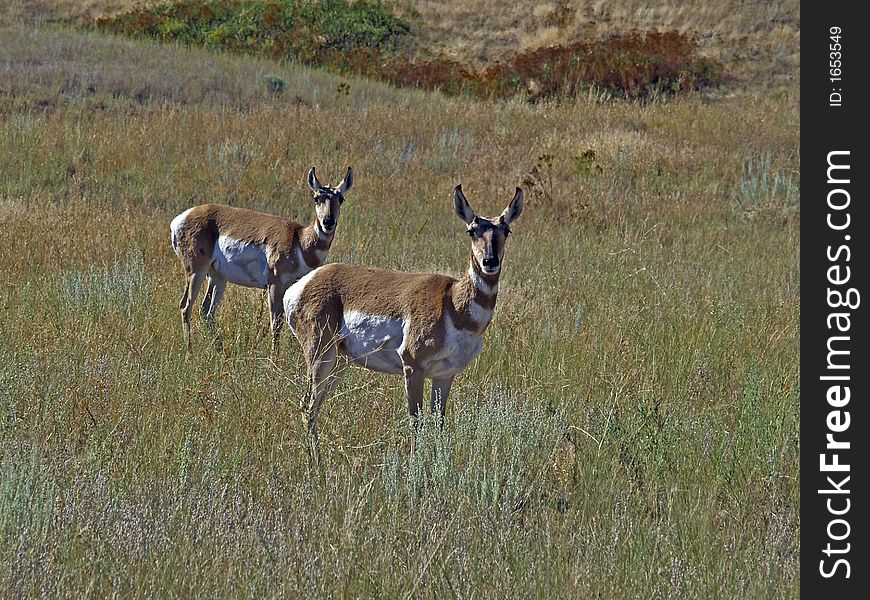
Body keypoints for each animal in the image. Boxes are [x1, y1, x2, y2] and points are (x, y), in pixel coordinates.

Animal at [170, 165, 354, 352]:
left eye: (341, 198)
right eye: (317, 198)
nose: (328, 222)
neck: (299, 240)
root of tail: (181, 218)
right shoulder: (274, 285)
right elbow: (276, 324)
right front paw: (275, 358)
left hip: (218, 277)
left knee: (206, 312)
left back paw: (222, 352)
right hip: (196, 271)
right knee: (186, 307)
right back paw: (190, 351)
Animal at [284, 183, 524, 454]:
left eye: (507, 230)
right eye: (471, 230)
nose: (489, 261)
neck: (453, 304)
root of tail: (303, 284)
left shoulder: (444, 375)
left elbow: (439, 424)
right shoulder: (413, 368)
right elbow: (416, 423)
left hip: (339, 362)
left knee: (314, 405)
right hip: (320, 355)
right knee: (307, 406)